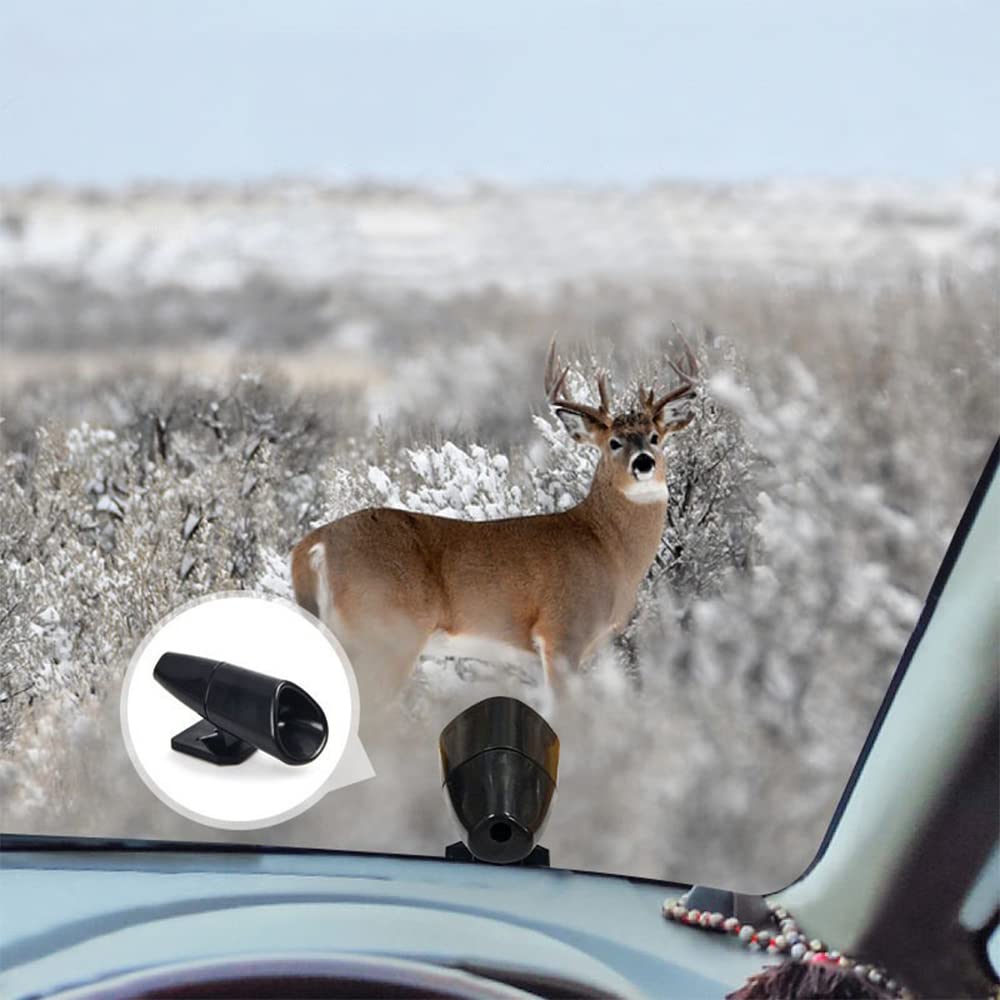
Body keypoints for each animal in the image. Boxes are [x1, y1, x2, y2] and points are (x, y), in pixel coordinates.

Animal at [291, 342, 698, 712]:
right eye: (613, 442)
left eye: (656, 438)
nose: (643, 462)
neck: (608, 548)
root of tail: (314, 544)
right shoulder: (562, 632)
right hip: (384, 633)